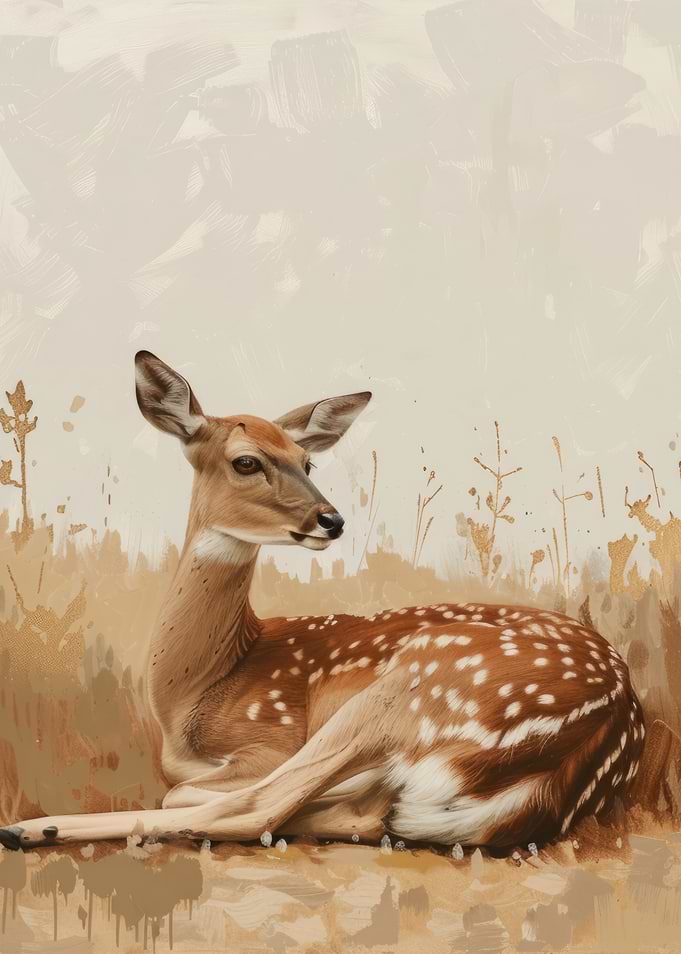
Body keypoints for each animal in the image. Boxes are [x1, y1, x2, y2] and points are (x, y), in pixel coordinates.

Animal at [0, 351, 645, 852]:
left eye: (307, 461)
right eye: (246, 460)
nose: (330, 519)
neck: (190, 693)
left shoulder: (270, 739)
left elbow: (189, 790)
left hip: (411, 686)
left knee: (259, 807)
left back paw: (29, 829)